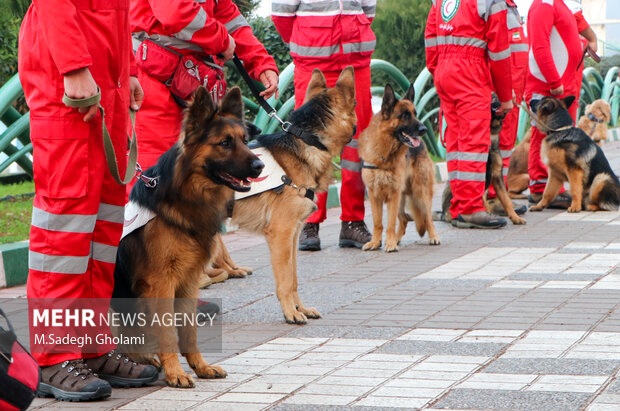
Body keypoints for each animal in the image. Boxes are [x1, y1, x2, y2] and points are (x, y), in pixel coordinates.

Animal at [112, 85, 262, 388]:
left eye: (244, 140)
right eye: (225, 142)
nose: (260, 166)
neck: (185, 197)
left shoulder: (189, 282)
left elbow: (189, 329)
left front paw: (200, 366)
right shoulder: (161, 284)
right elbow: (168, 331)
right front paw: (176, 372)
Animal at [228, 67, 356, 326]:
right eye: (356, 104)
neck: (307, 141)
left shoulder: (294, 234)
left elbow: (294, 277)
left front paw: (301, 308)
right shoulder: (281, 234)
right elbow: (285, 280)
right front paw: (291, 313)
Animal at [356, 83, 438, 251]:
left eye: (415, 114)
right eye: (405, 115)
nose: (424, 129)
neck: (384, 154)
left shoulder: (393, 194)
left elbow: (390, 223)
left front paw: (390, 244)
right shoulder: (374, 195)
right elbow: (378, 223)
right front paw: (376, 242)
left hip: (420, 192)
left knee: (427, 217)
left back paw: (433, 237)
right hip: (402, 195)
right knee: (404, 218)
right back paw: (397, 238)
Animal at [440, 96, 528, 225]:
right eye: (493, 98)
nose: (506, 103)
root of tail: (442, 215)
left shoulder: (497, 176)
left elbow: (506, 199)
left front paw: (515, 217)